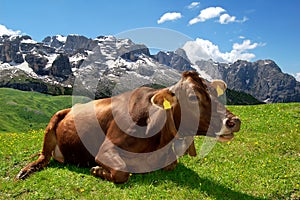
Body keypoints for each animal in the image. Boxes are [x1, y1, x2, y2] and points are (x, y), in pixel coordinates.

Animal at [15, 71, 241, 184]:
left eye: (216, 93)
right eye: (193, 96)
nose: (234, 121)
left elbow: (172, 164)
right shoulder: (105, 150)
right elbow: (121, 173)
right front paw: (97, 170)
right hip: (52, 122)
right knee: (43, 158)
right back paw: (25, 171)